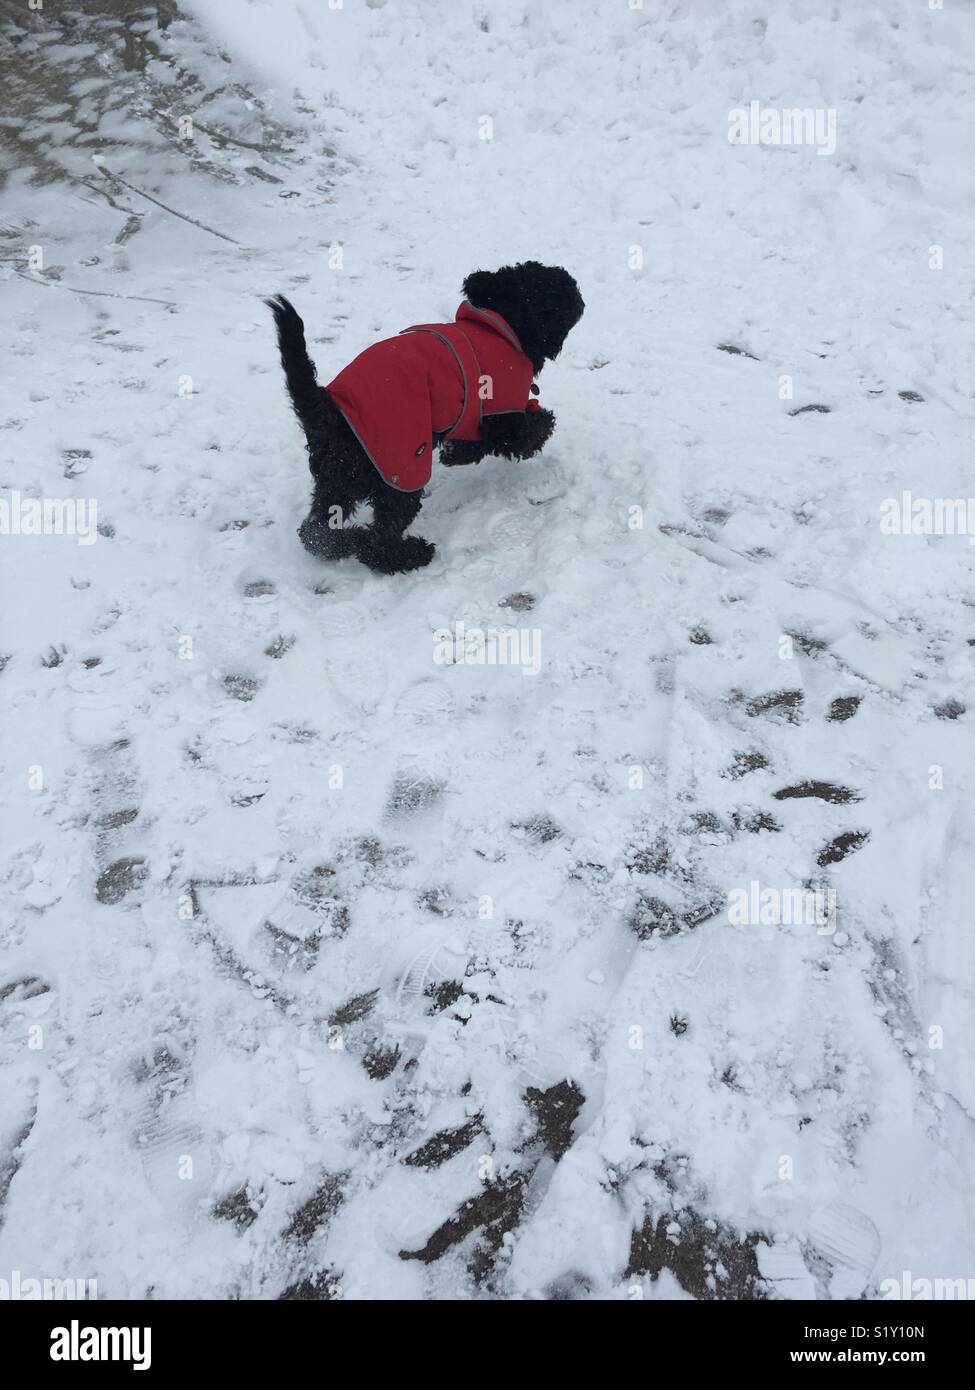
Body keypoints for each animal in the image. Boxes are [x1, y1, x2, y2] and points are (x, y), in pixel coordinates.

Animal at [265, 262, 581, 572]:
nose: (579, 296)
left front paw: (455, 455)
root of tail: (326, 408)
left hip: (338, 478)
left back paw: (346, 541)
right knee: (376, 541)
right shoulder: (503, 414)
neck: (501, 324)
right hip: (399, 473)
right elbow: (529, 431)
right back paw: (408, 553)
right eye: (558, 291)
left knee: (315, 532)